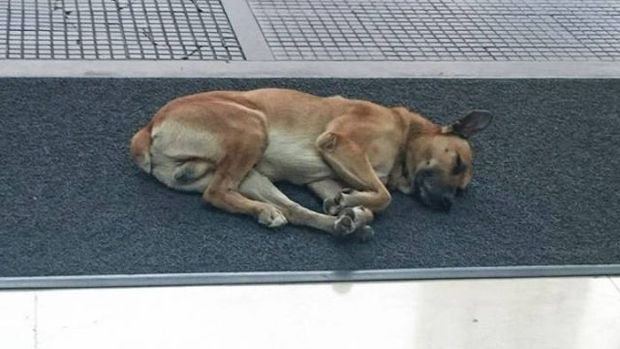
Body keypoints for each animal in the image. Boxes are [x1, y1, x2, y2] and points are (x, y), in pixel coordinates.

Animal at [128, 87, 492, 239]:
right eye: (458, 163)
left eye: (461, 188)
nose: (447, 204)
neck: (405, 135)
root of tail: (147, 129)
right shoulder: (341, 144)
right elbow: (384, 197)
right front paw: (354, 203)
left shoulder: (322, 178)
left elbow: (362, 199)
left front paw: (350, 208)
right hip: (252, 126)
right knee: (215, 194)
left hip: (253, 175)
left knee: (291, 210)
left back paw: (337, 224)